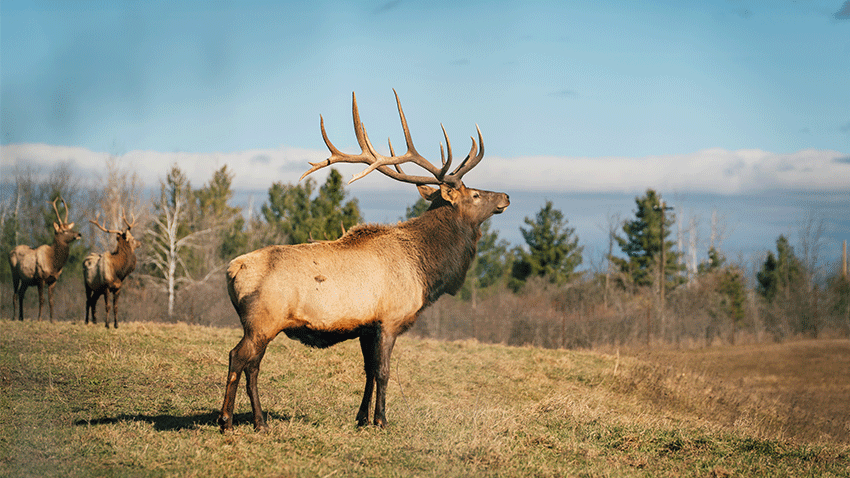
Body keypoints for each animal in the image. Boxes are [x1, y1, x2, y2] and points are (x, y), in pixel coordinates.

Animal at [218, 90, 510, 433]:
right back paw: (228, 420)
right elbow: (383, 372)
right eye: (475, 194)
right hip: (263, 320)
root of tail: (231, 270)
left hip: (261, 324)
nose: (505, 196)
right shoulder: (389, 320)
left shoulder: (366, 326)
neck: (426, 269)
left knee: (252, 365)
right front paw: (381, 420)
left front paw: (361, 419)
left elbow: (368, 371)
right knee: (238, 357)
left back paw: (260, 421)